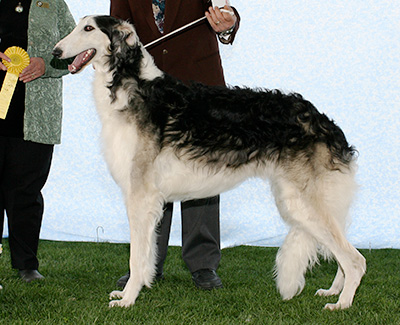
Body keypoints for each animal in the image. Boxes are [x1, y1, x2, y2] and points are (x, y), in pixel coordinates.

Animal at [53, 15, 366, 308]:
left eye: (89, 29)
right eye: (78, 25)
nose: (56, 51)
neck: (134, 86)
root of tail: (324, 122)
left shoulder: (140, 195)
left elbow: (135, 257)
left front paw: (128, 300)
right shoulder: (150, 200)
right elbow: (146, 256)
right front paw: (134, 289)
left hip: (303, 203)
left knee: (355, 260)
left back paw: (342, 304)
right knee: (344, 257)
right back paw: (333, 291)